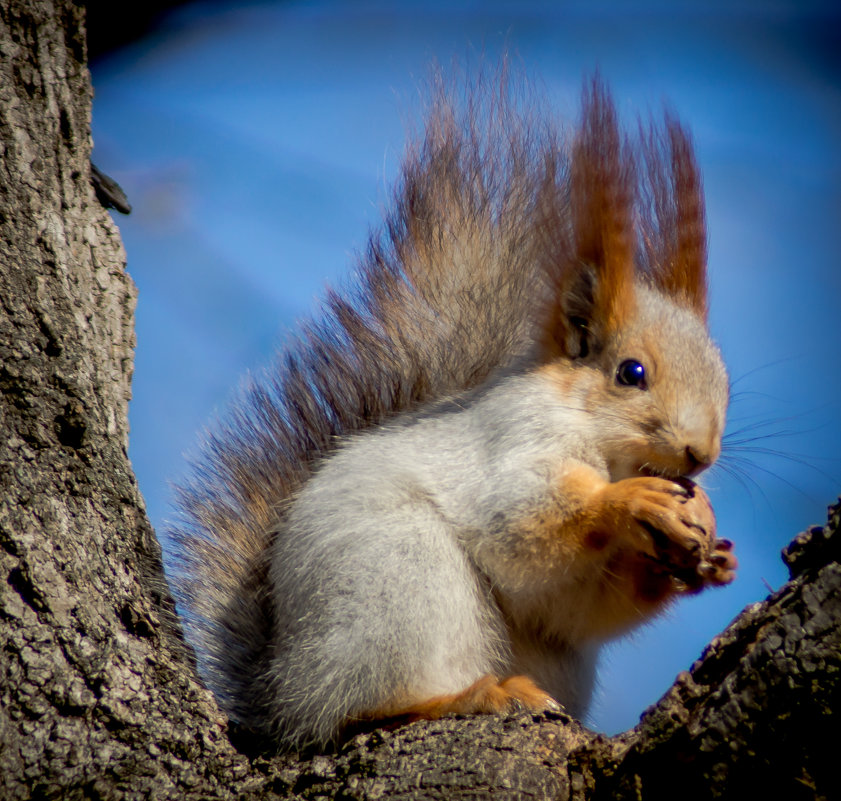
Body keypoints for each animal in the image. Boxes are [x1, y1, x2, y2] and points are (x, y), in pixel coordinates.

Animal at [169, 73, 736, 752]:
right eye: (632, 373)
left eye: (725, 379)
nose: (700, 455)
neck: (595, 436)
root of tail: (285, 697)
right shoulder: (513, 441)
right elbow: (520, 527)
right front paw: (628, 503)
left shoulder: (567, 600)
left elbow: (570, 607)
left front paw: (706, 554)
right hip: (398, 580)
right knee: (359, 712)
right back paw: (470, 696)